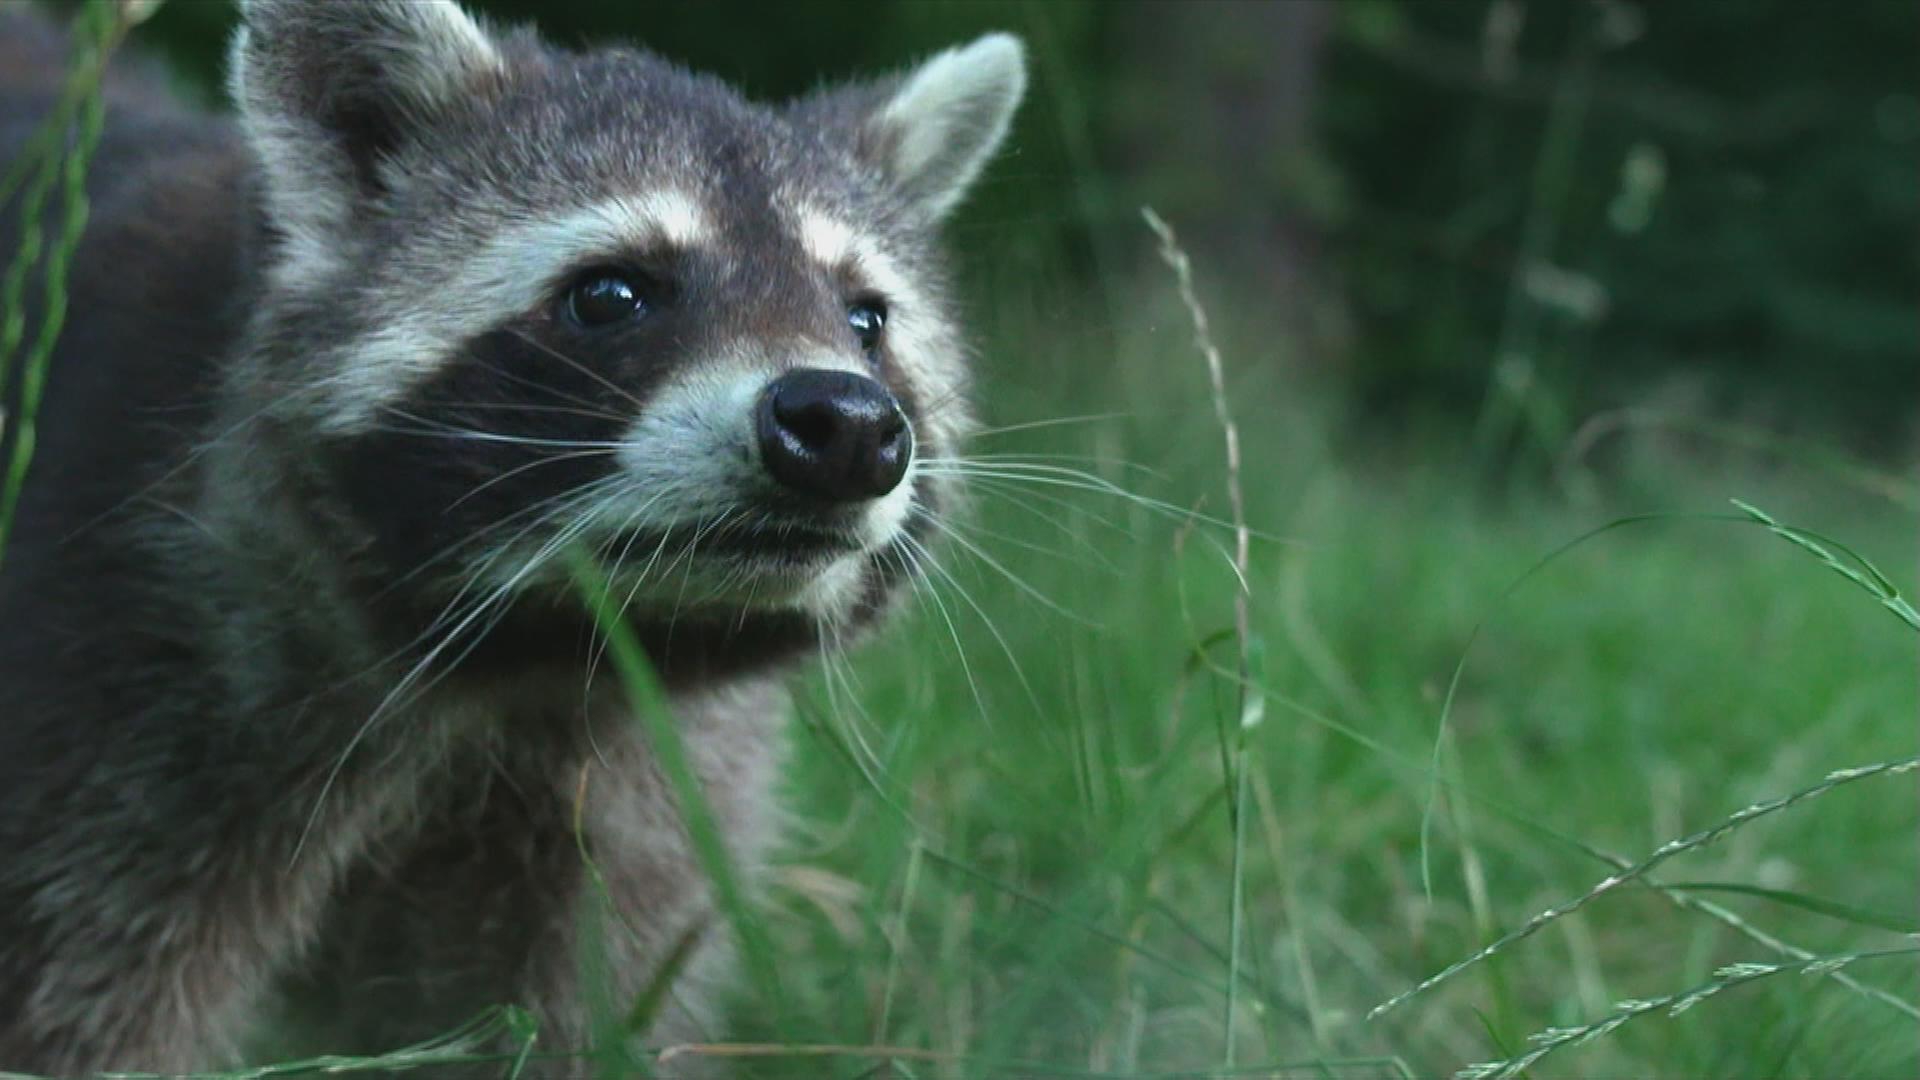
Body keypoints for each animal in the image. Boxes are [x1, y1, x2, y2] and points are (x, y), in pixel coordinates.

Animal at [0, 0, 1029, 1068]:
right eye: (611, 294)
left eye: (865, 318)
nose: (847, 427)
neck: (546, 654)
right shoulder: (129, 684)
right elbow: (74, 1002)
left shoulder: (649, 792)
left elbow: (589, 1010)